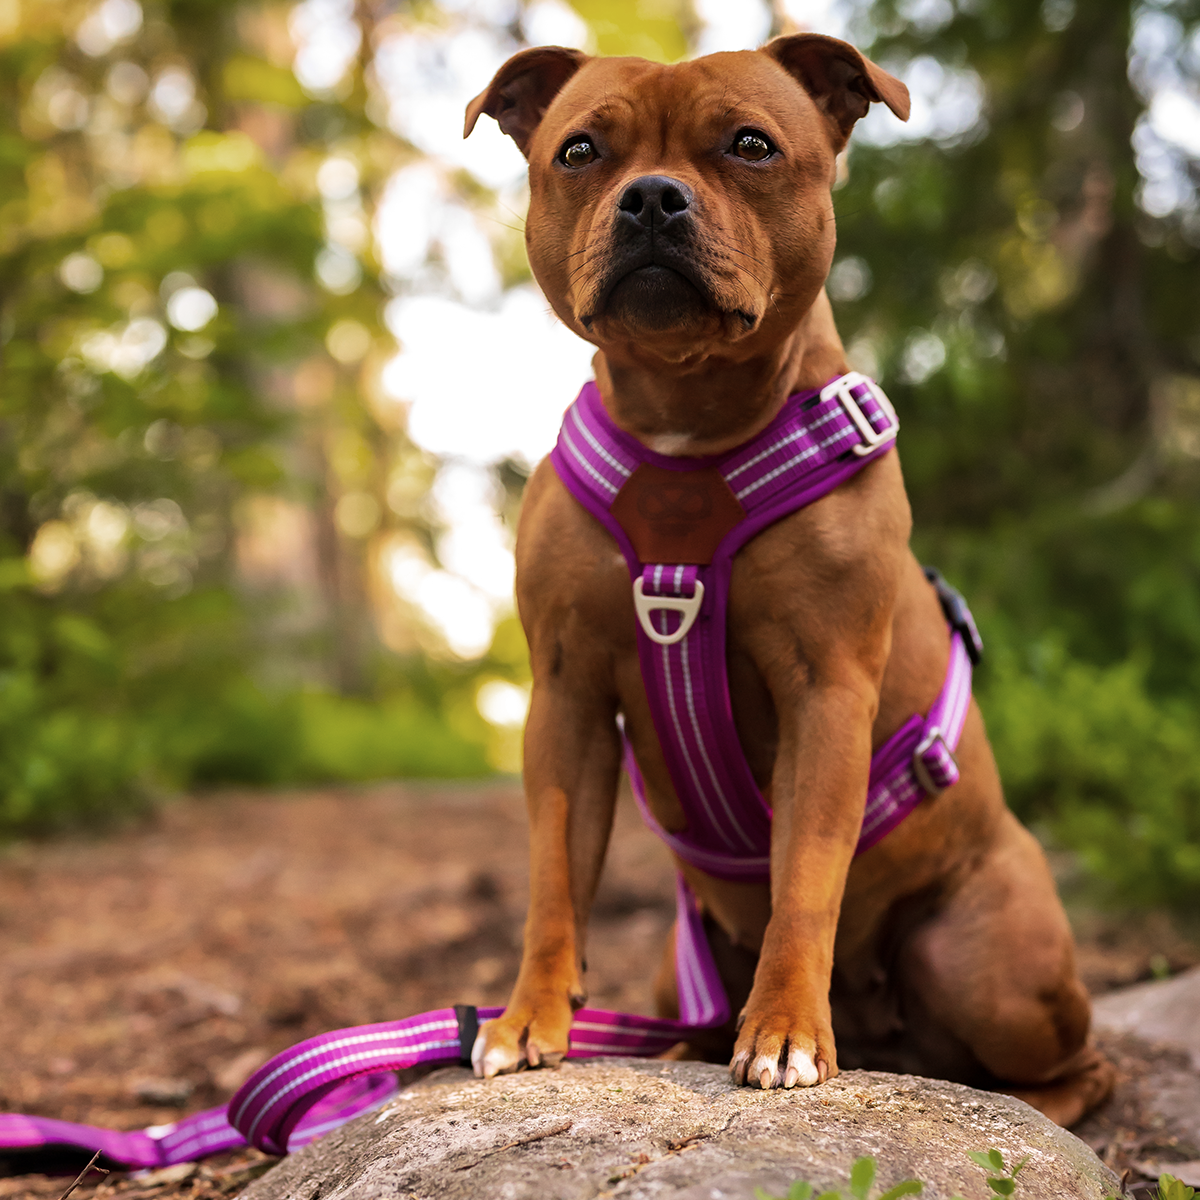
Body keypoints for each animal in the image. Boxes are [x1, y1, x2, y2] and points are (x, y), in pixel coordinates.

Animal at [458, 35, 1113, 1123]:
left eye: (752, 145)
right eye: (580, 149)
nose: (652, 198)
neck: (687, 423)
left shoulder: (827, 692)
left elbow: (804, 874)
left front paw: (786, 1033)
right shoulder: (566, 696)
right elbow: (555, 880)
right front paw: (526, 1021)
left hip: (996, 968)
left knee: (1078, 1063)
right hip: (676, 967)